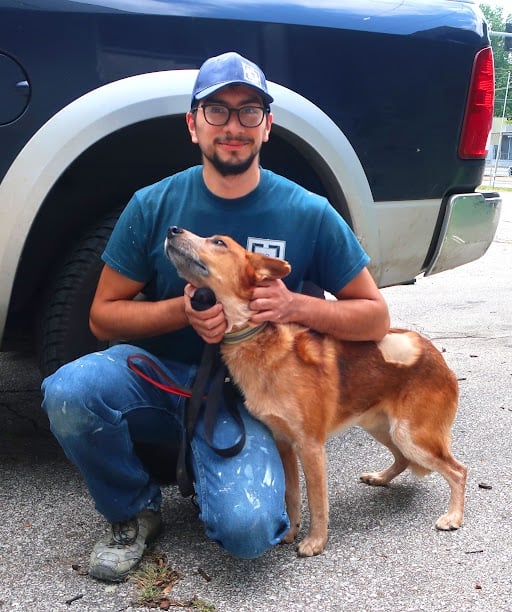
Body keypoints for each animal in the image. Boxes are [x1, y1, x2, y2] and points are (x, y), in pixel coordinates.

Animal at [165, 225, 468, 556]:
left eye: (219, 242)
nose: (172, 229)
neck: (257, 342)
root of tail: (436, 354)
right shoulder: (283, 442)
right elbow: (291, 495)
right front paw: (291, 531)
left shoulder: (310, 446)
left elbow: (316, 500)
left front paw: (315, 541)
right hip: (380, 426)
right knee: (403, 459)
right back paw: (380, 477)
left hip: (410, 434)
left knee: (458, 470)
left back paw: (454, 516)